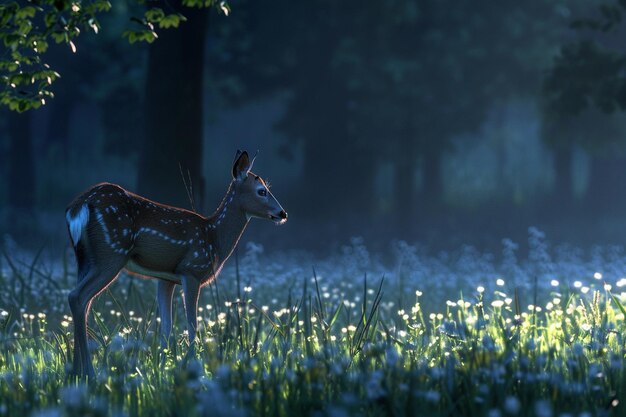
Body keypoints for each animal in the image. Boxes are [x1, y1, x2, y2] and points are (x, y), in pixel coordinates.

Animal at [64, 150, 286, 376]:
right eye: (262, 191)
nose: (282, 213)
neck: (214, 238)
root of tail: (78, 207)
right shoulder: (192, 270)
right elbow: (192, 324)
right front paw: (193, 364)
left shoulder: (166, 278)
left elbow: (166, 327)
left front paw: (162, 367)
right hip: (111, 253)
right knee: (77, 297)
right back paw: (88, 372)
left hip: (85, 258)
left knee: (82, 302)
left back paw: (74, 370)